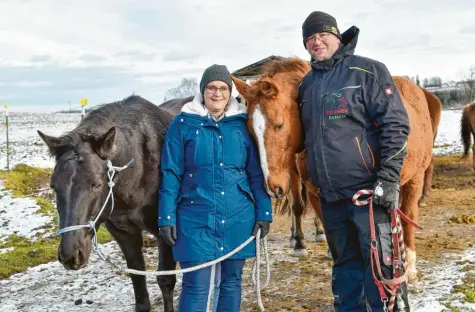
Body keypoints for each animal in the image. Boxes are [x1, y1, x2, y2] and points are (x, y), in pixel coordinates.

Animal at [38, 95, 190, 312]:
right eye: (53, 186)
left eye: (96, 184)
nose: (71, 254)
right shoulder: (123, 233)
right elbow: (138, 282)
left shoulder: (165, 234)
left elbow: (166, 281)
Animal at [234, 56, 442, 280]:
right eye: (250, 131)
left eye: (279, 125)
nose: (271, 187)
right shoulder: (314, 193)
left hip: (415, 177)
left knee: (409, 214)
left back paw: (409, 264)